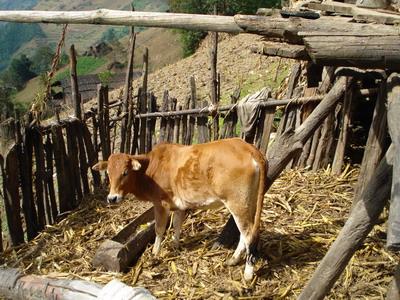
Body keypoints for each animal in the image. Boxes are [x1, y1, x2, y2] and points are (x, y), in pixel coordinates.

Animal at [94, 138, 268, 282]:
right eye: (108, 173)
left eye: (125, 172)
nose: (112, 198)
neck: (151, 167)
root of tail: (249, 148)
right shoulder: (178, 205)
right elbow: (177, 224)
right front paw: (175, 245)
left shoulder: (160, 204)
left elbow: (159, 229)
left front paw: (155, 253)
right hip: (248, 203)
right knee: (245, 233)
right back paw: (234, 259)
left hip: (237, 203)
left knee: (248, 234)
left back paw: (248, 273)